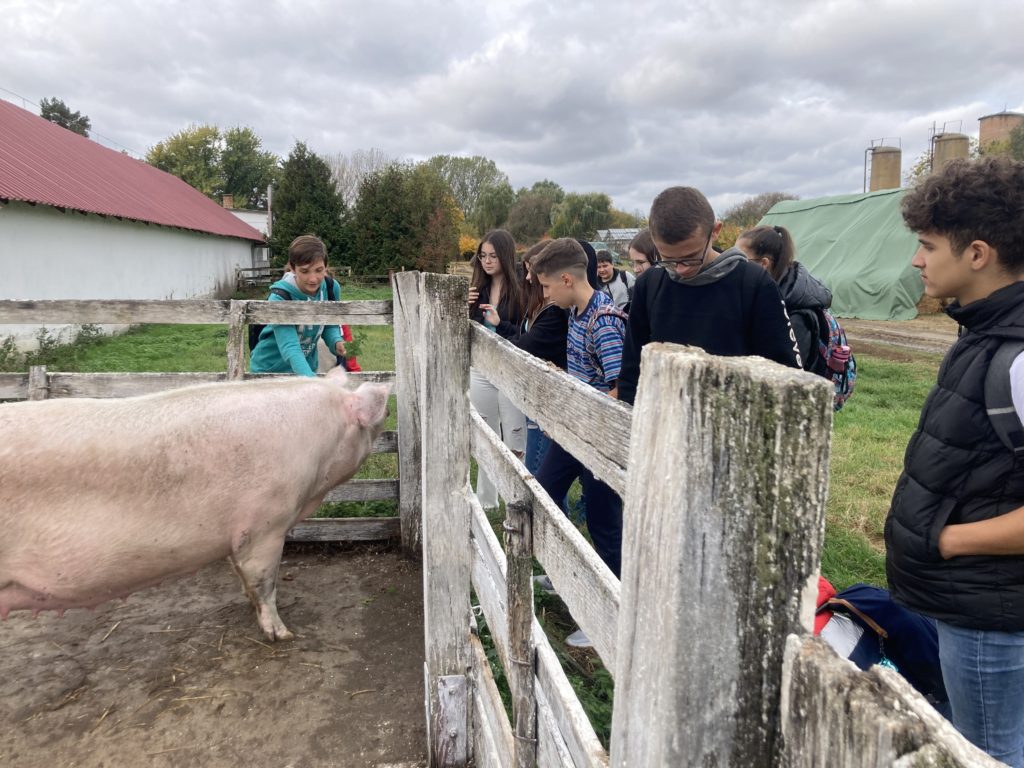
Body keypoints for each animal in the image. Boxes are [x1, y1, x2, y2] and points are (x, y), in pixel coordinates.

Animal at [0, 370, 389, 638]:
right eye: (375, 421)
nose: (388, 399)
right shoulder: (265, 524)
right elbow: (264, 580)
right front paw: (284, 634)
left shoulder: (238, 531)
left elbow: (241, 573)